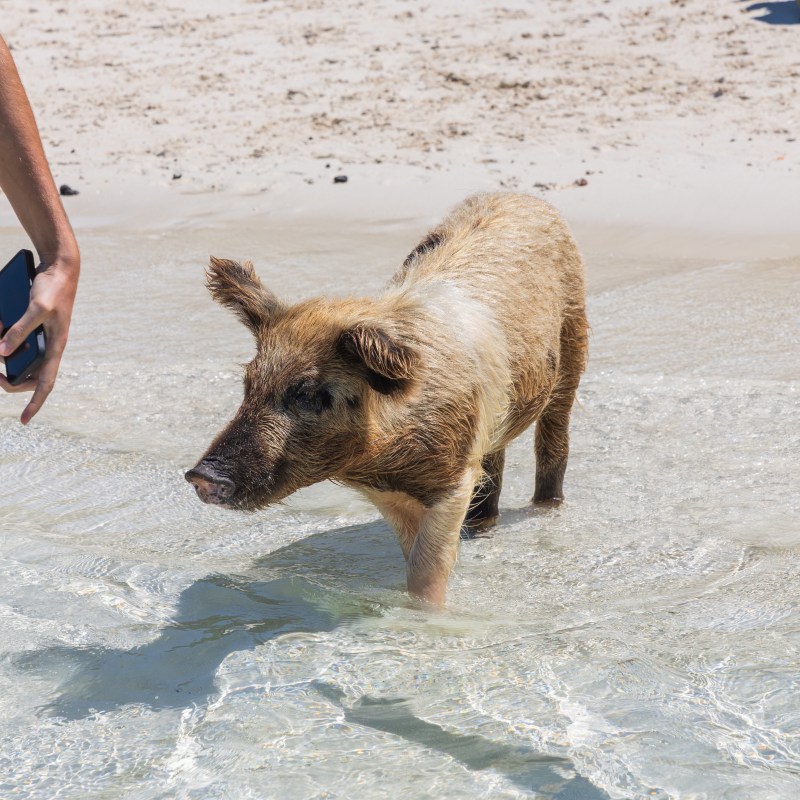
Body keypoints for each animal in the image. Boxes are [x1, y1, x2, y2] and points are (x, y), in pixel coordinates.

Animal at [186, 192, 588, 604]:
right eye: (249, 384)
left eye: (308, 393)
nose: (201, 476)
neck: (390, 458)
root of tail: (521, 196)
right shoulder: (388, 493)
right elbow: (413, 556)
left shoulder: (454, 478)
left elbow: (428, 567)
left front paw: (429, 611)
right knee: (495, 462)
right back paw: (480, 529)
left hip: (573, 342)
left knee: (554, 440)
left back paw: (548, 510)